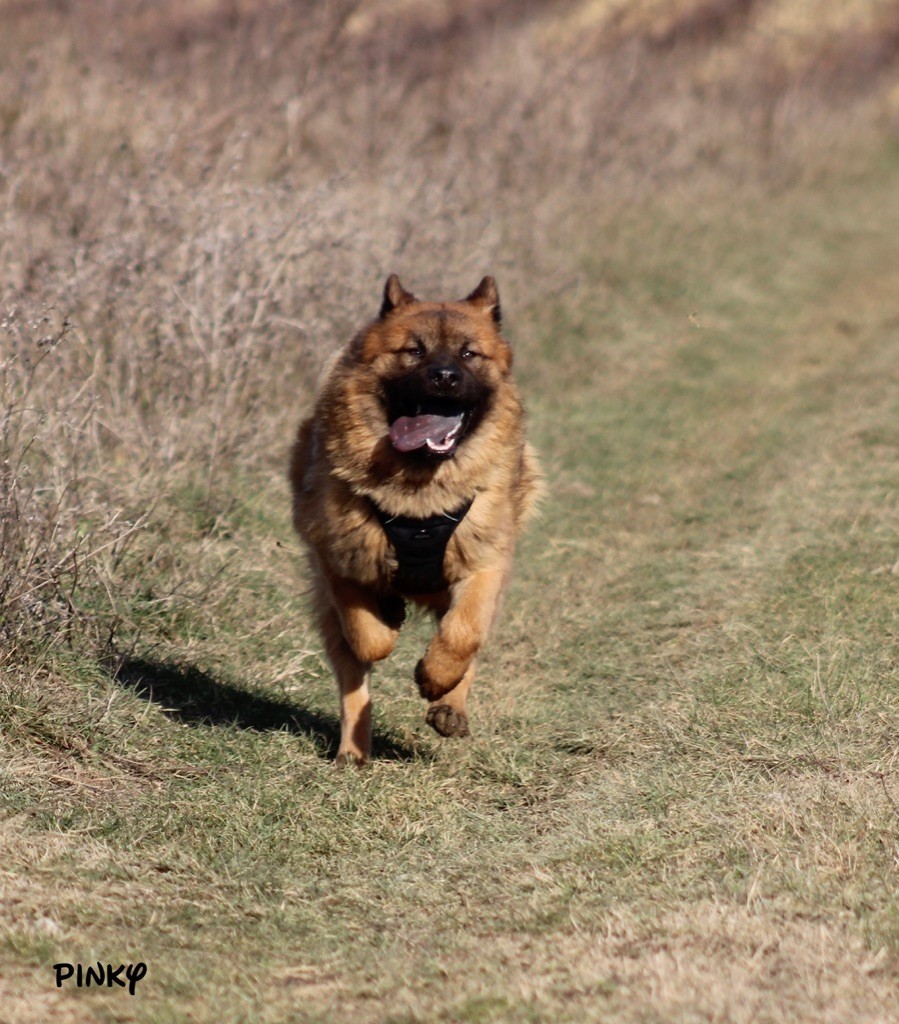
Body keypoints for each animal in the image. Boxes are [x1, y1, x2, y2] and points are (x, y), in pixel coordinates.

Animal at [292, 276, 536, 765]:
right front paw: (385, 619)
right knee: (353, 683)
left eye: (468, 354)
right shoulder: (337, 559)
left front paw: (436, 678)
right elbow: (367, 637)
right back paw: (353, 750)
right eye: (415, 351)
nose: (444, 377)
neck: (419, 497)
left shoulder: (484, 564)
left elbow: (463, 635)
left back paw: (449, 707)